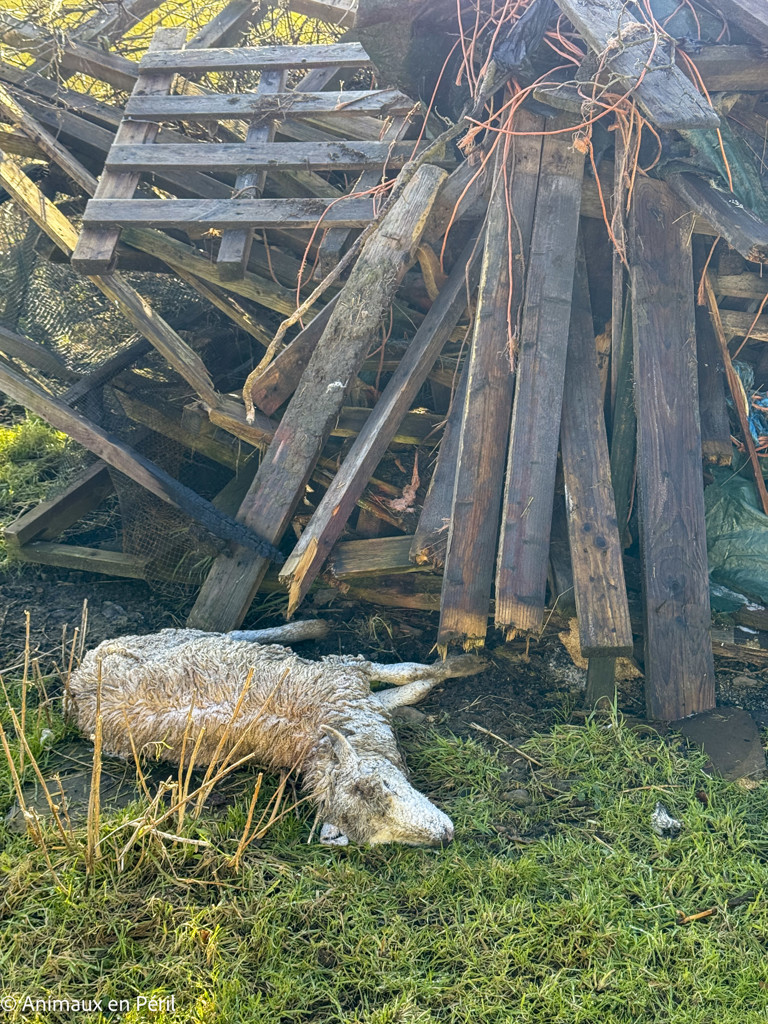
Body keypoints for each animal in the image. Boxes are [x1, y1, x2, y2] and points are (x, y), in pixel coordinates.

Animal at [69, 620, 485, 846]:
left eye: (387, 786)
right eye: (384, 838)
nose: (445, 837)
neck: (314, 730)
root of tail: (76, 685)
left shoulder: (345, 677)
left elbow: (407, 673)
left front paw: (463, 664)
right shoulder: (349, 688)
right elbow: (407, 684)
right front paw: (456, 670)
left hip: (168, 639)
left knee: (233, 633)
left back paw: (310, 626)